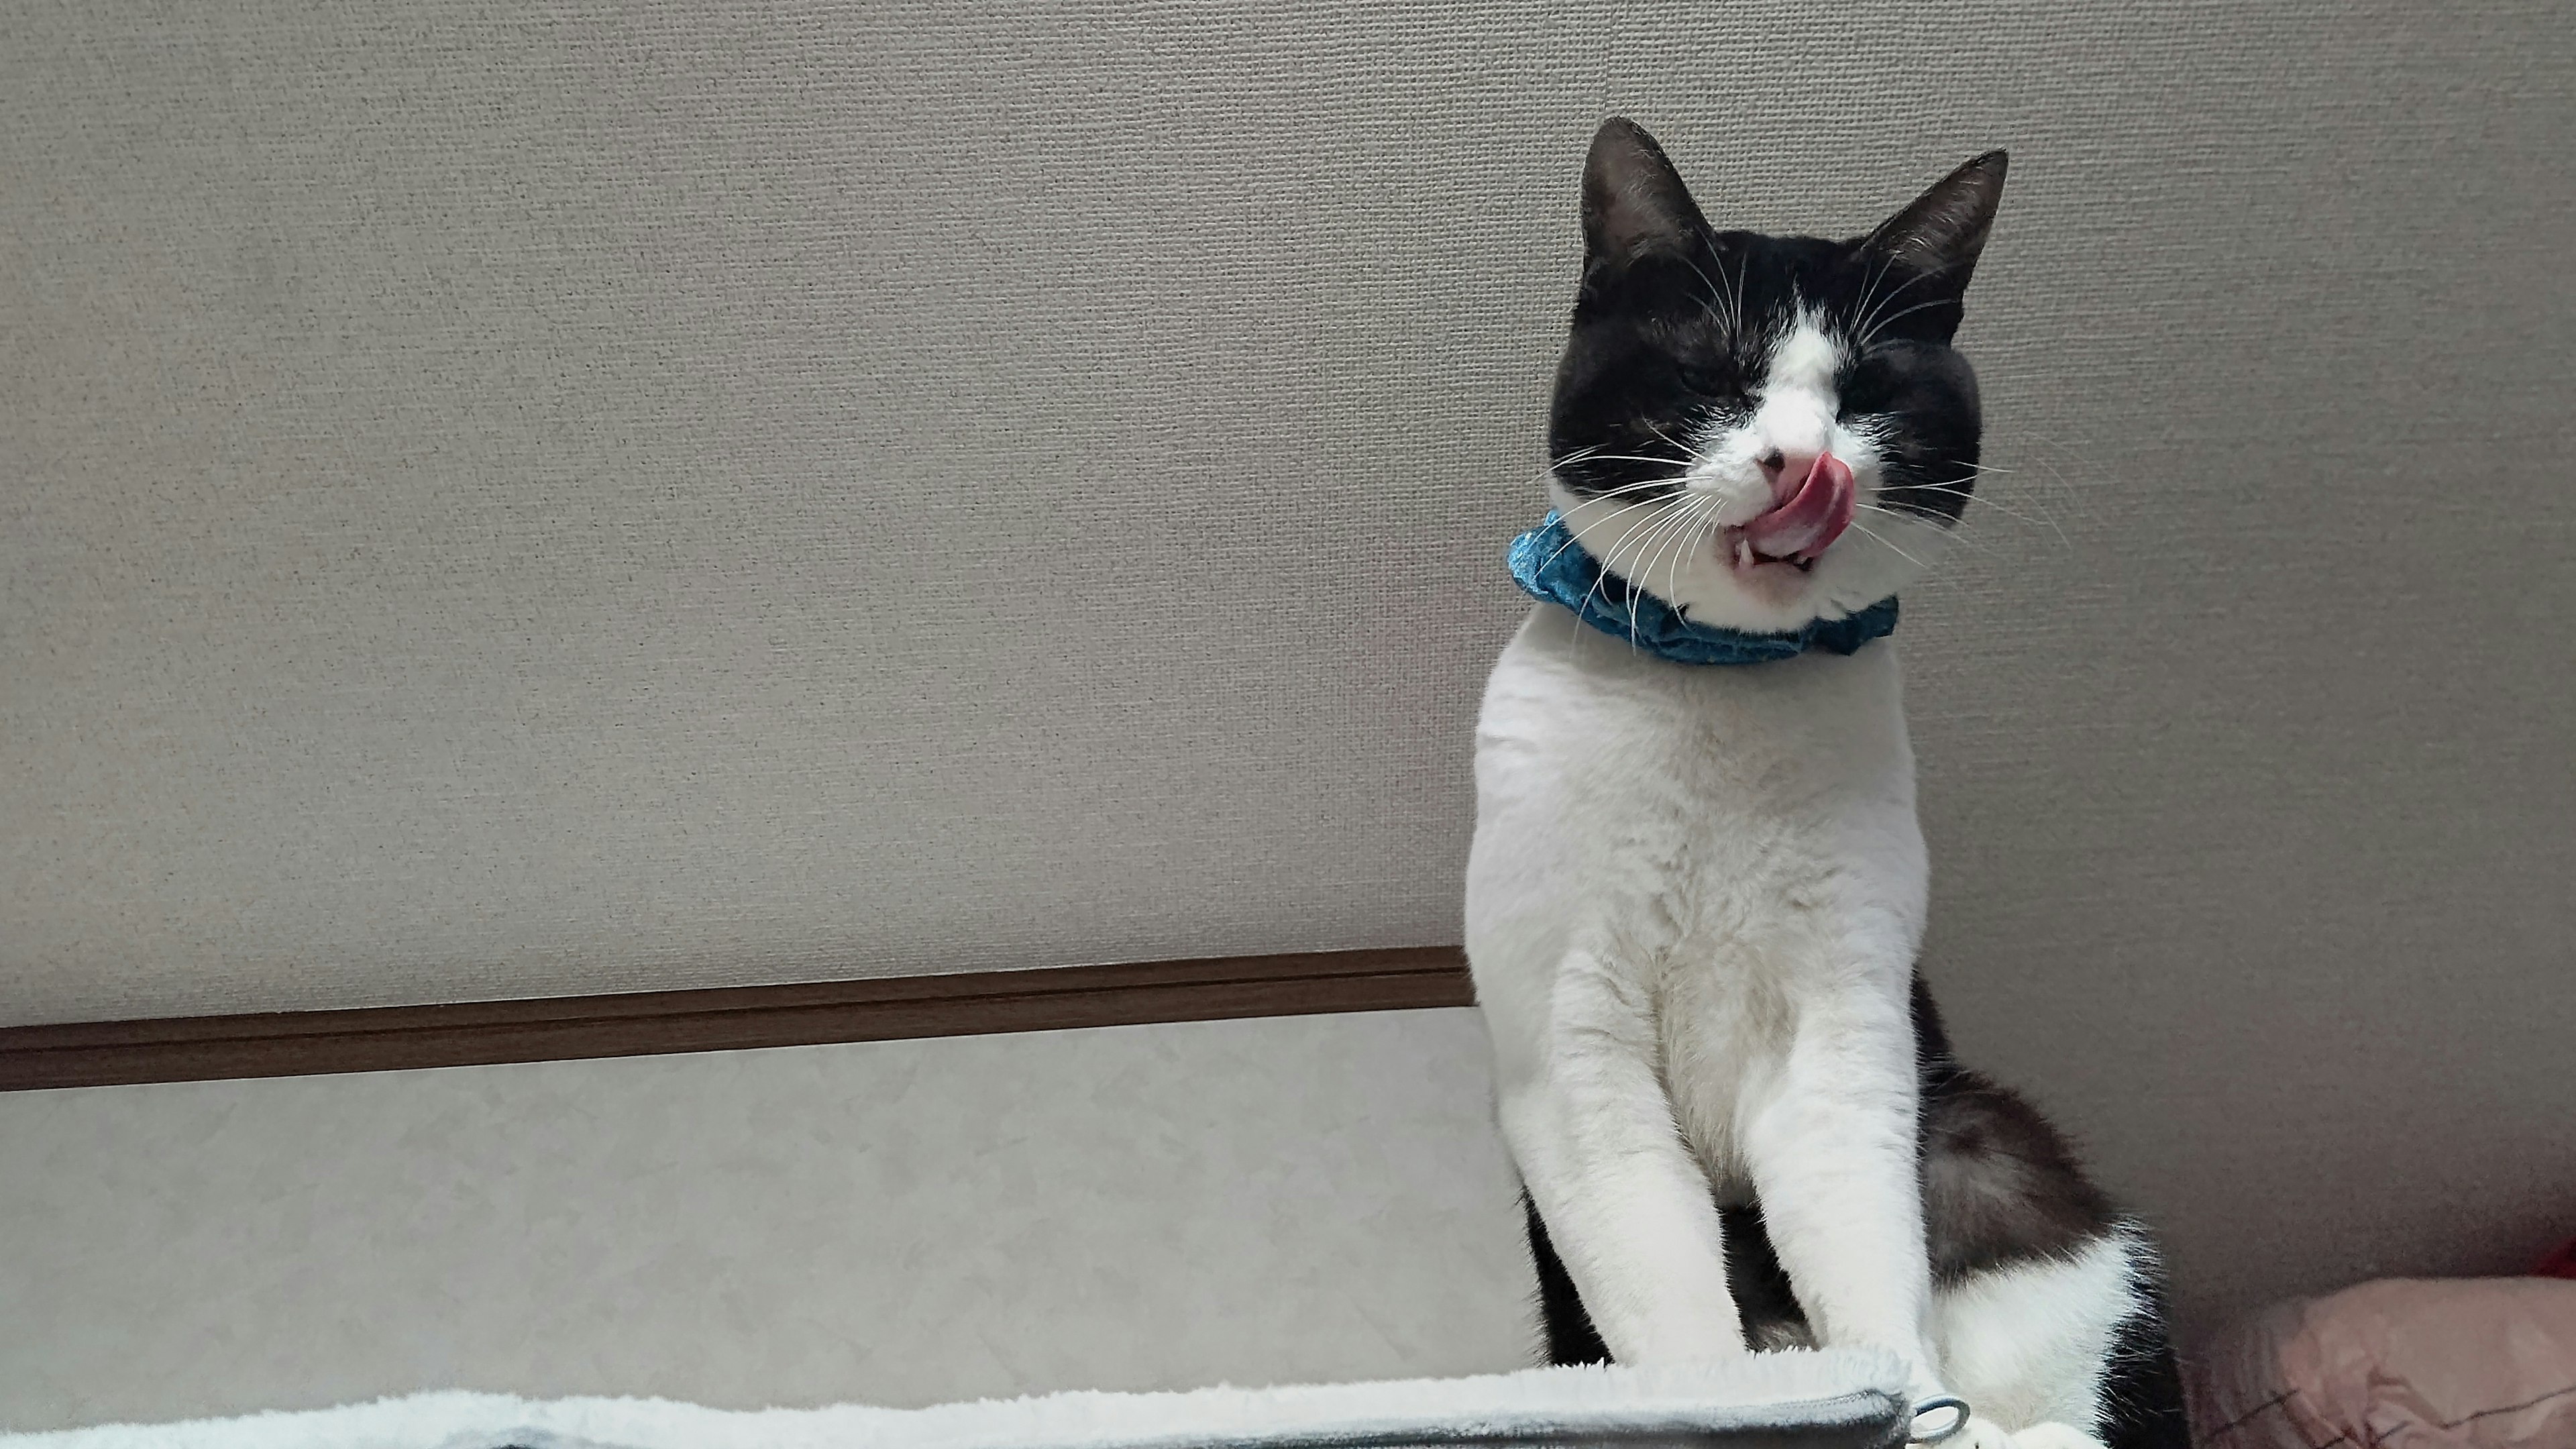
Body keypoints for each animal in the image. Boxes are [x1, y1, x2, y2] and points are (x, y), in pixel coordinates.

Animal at [1473, 123, 2194, 1444]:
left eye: (1867, 394)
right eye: (1716, 372)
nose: (1801, 460)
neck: (1722, 688)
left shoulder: (1844, 1030)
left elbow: (1859, 1244)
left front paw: (1888, 1397)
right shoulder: (1569, 1053)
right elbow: (1663, 1282)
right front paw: (1734, 1402)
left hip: (1991, 1151)